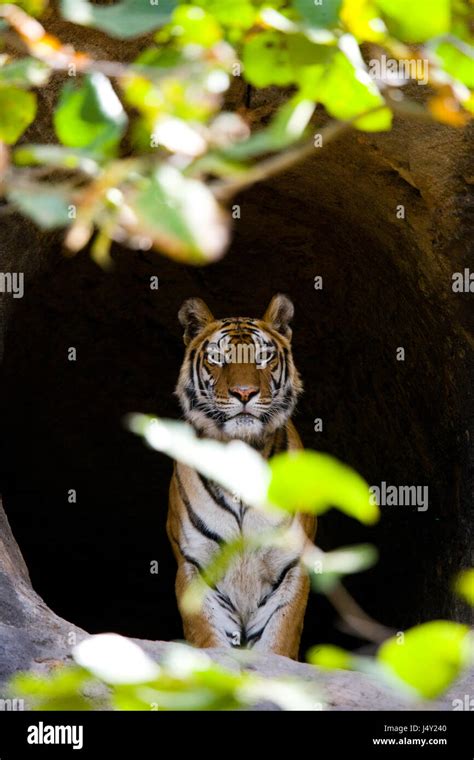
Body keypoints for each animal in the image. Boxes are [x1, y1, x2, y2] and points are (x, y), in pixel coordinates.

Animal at [167, 292, 314, 660]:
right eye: (218, 357)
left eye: (263, 357)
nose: (245, 393)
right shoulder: (196, 566)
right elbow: (209, 641)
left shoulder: (290, 567)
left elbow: (277, 642)